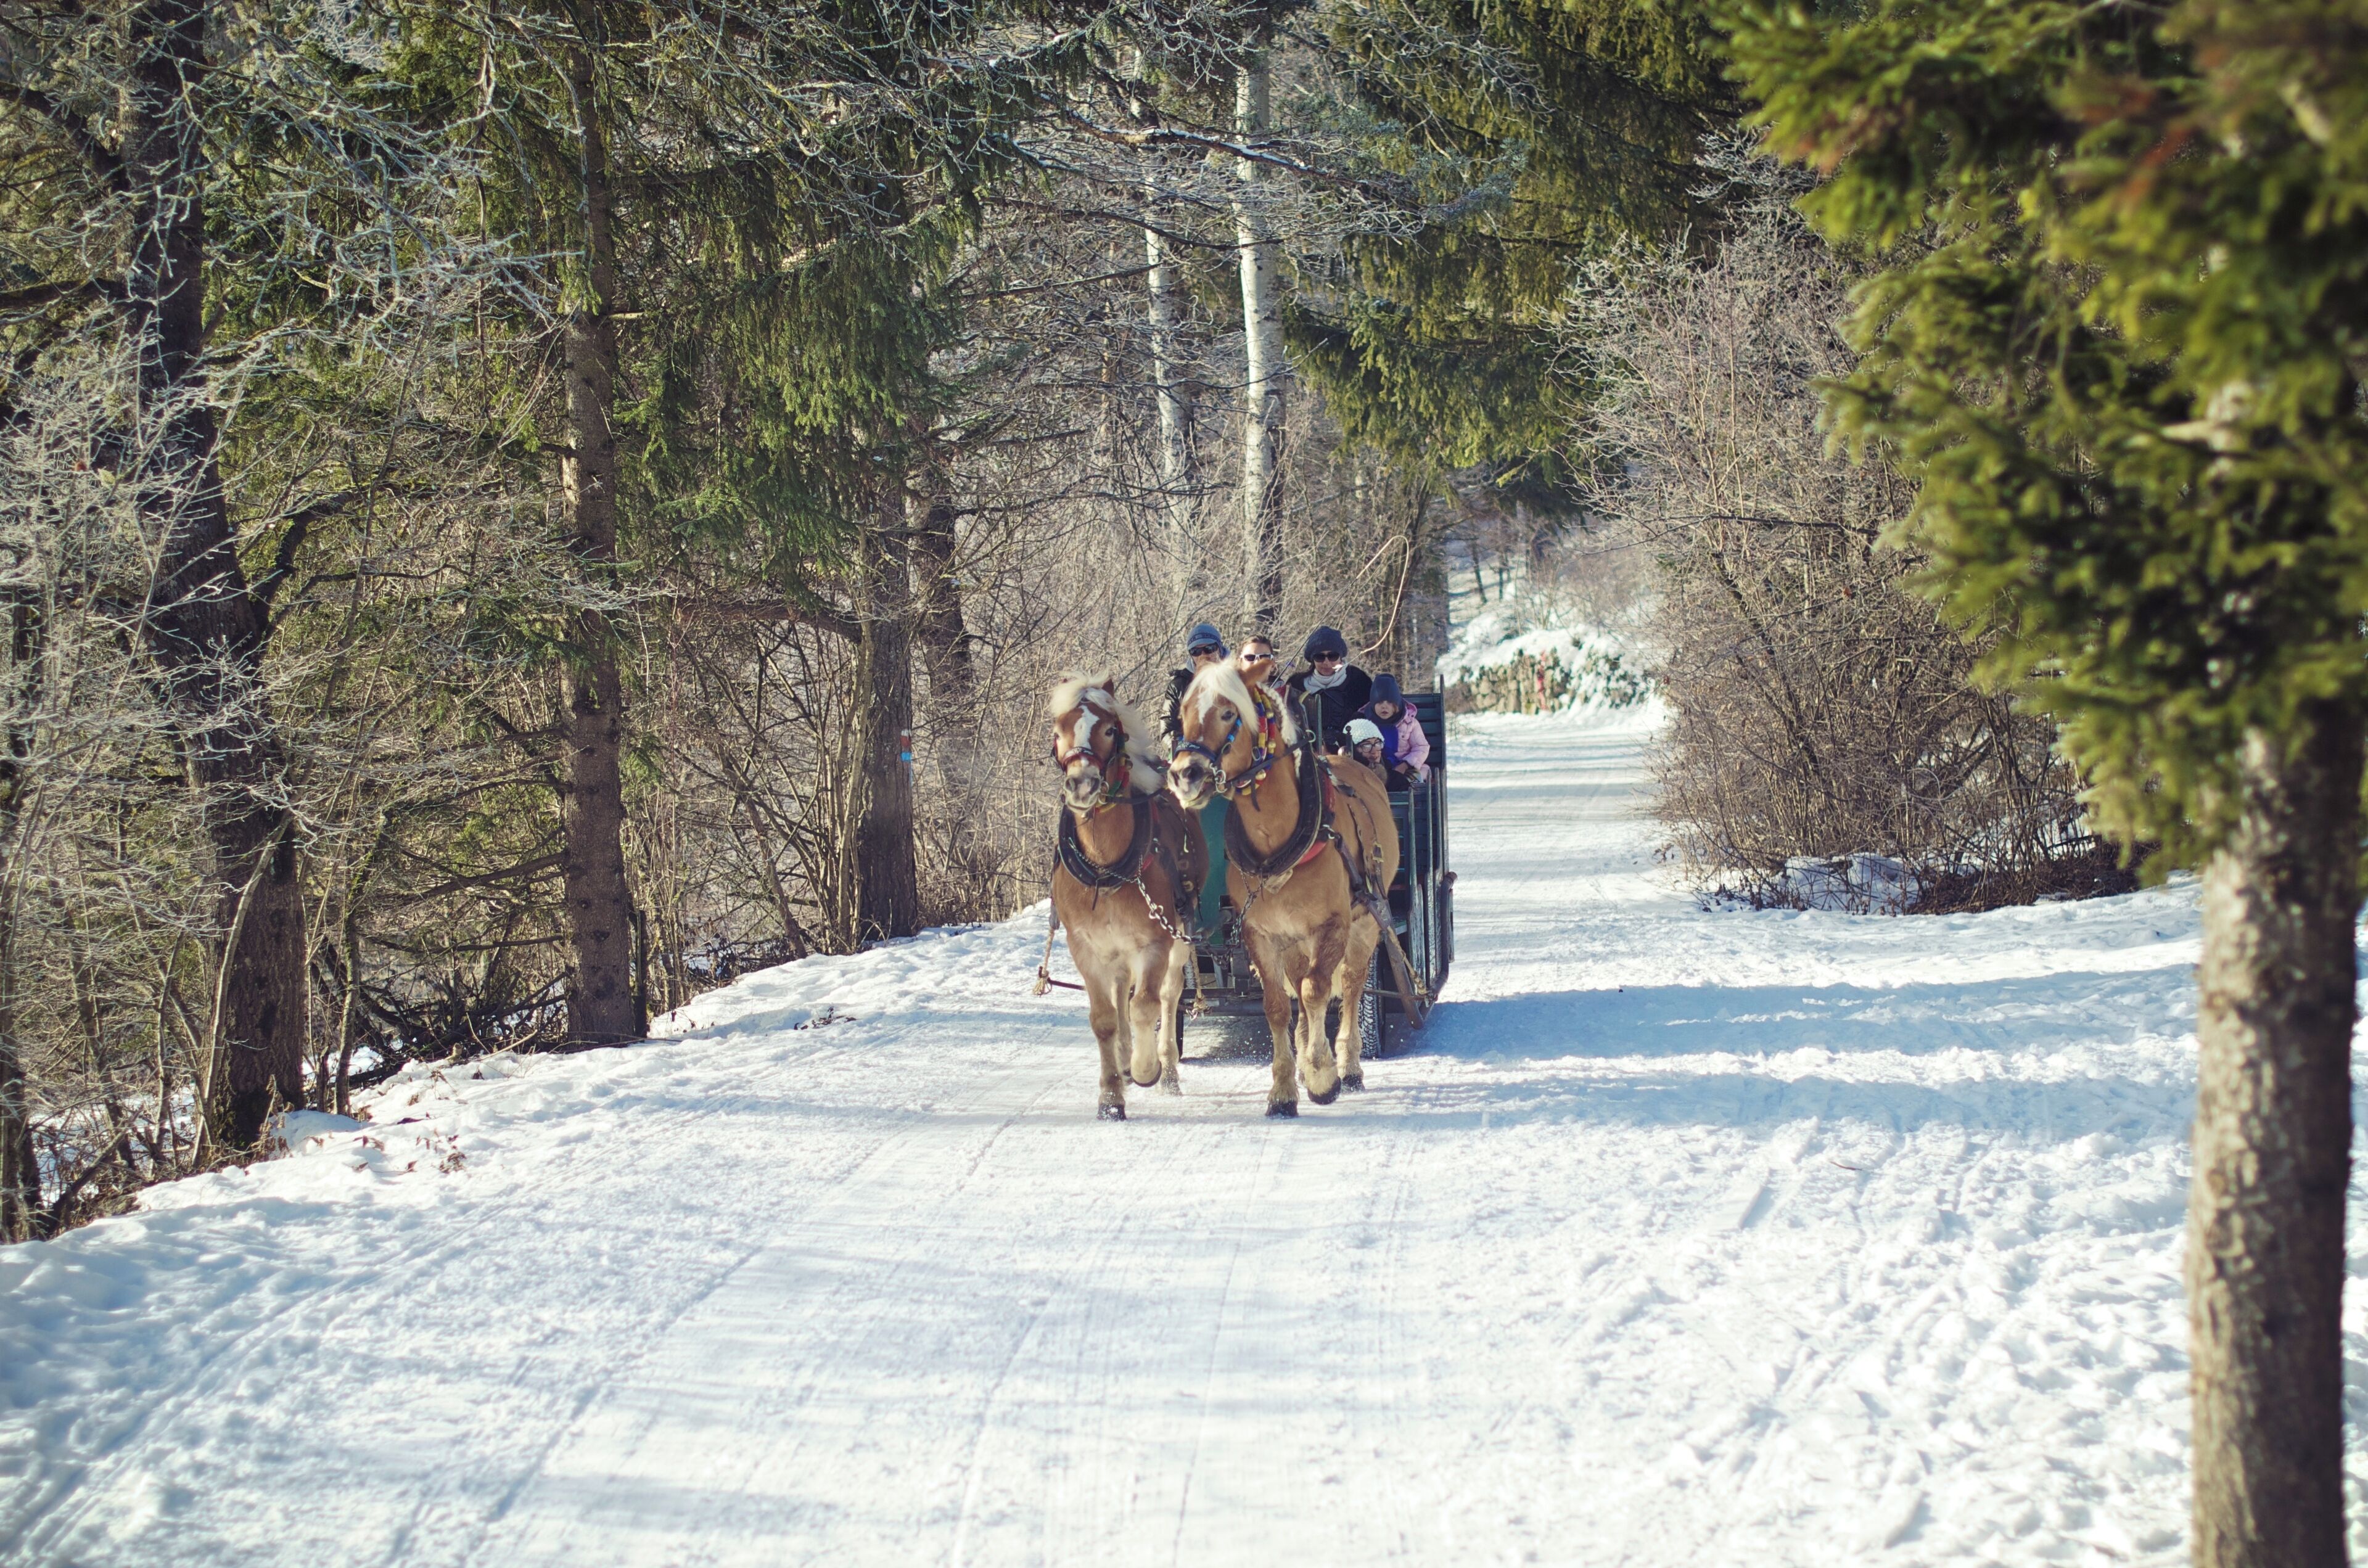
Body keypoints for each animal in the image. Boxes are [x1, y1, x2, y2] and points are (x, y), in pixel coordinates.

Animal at [1047, 675, 1207, 1120]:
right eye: (1058, 732)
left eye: (1107, 730)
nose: (1081, 784)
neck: (1106, 867)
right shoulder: (1086, 947)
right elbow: (1105, 1017)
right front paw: (1111, 1096)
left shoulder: (1154, 943)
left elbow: (1146, 1007)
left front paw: (1146, 1068)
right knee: (1122, 994)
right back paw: (1122, 1057)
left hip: (1179, 937)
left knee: (1168, 996)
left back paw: (1166, 1070)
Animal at [1165, 660, 1401, 1116]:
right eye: (1181, 713)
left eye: (1228, 713)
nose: (1184, 774)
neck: (1279, 842)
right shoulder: (1261, 933)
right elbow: (1278, 1005)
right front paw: (1284, 1089)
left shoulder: (1333, 926)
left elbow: (1316, 990)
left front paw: (1323, 1074)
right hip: (1293, 940)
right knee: (1301, 990)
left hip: (1365, 924)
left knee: (1350, 985)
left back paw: (1349, 1065)